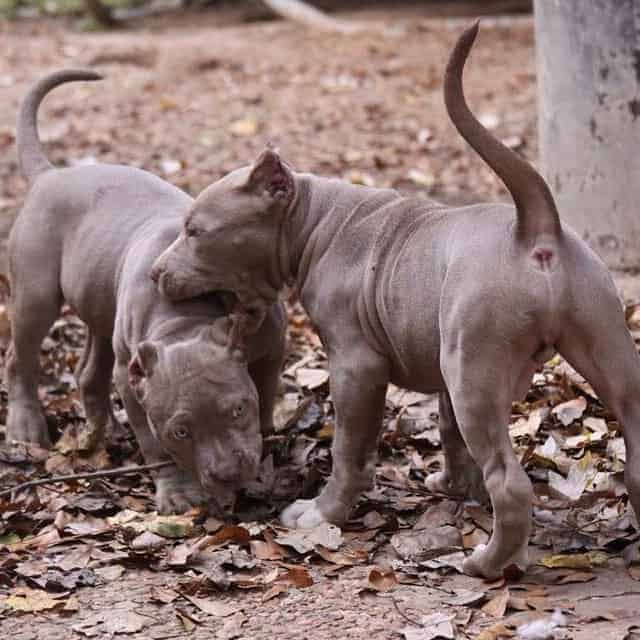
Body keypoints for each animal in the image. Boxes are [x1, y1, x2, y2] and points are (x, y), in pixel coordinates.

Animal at [5, 70, 284, 512]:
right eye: (181, 432)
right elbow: (154, 445)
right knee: (20, 358)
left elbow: (269, 392)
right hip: (35, 295)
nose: (228, 475)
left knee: (88, 370)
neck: (186, 317)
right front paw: (177, 492)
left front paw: (269, 440)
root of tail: (51, 175)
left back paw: (103, 429)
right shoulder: (133, 382)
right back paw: (26, 426)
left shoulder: (272, 347)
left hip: (99, 302)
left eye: (239, 409)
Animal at [151, 23, 640, 576]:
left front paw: (322, 513)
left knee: (511, 485)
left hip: (476, 372)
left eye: (195, 231)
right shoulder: (442, 370)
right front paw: (455, 488)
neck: (314, 219)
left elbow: (349, 449)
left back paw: (487, 562)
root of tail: (533, 229)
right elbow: (450, 436)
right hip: (601, 346)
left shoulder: (356, 367)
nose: (155, 273)